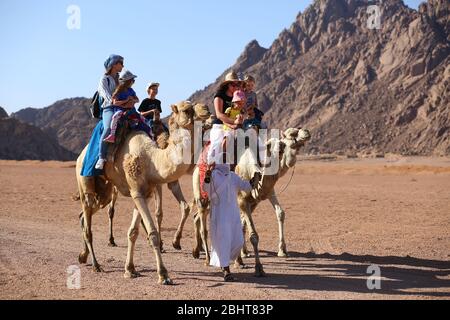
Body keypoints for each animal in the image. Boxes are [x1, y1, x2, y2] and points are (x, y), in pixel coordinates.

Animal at [75, 101, 211, 284]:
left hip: (105, 192)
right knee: (88, 217)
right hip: (85, 181)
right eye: (185, 110)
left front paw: (130, 269)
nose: (207, 111)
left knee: (85, 215)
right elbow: (152, 232)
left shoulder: (144, 194)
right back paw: (96, 264)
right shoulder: (137, 191)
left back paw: (83, 256)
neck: (152, 160)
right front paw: (163, 275)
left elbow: (133, 232)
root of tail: (80, 155)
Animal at [189, 128, 310, 278]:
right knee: (203, 227)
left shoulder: (263, 195)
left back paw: (197, 251)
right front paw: (258, 267)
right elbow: (253, 235)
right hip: (202, 197)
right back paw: (207, 258)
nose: (306, 132)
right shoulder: (242, 200)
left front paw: (280, 251)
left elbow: (278, 213)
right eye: (290, 136)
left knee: (197, 217)